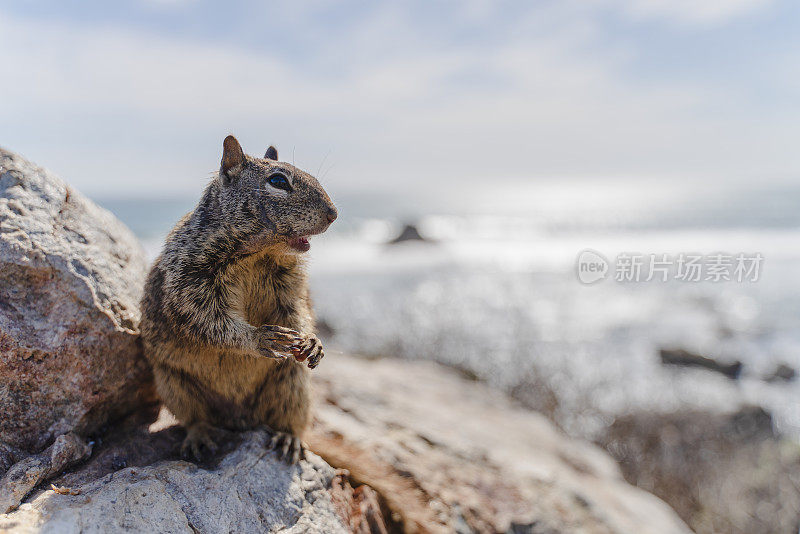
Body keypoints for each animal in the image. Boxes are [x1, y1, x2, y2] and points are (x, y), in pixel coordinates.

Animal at [139, 137, 336, 464]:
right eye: (278, 181)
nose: (334, 213)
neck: (258, 254)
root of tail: (240, 419)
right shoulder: (189, 281)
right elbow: (208, 321)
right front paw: (259, 338)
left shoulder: (290, 284)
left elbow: (297, 310)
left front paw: (312, 341)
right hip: (175, 386)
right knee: (194, 418)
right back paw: (199, 437)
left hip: (292, 385)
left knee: (289, 417)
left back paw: (289, 439)